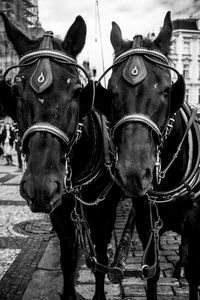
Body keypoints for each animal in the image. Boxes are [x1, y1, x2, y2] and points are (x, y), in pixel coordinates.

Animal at [0, 12, 121, 300]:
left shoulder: (104, 213)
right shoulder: (61, 214)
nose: (40, 187)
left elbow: (100, 258)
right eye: (16, 91)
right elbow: (68, 258)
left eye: (77, 90)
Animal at [94, 11, 200, 300]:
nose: (133, 174)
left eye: (166, 89)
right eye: (112, 91)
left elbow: (195, 273)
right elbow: (151, 273)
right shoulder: (145, 223)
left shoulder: (195, 223)